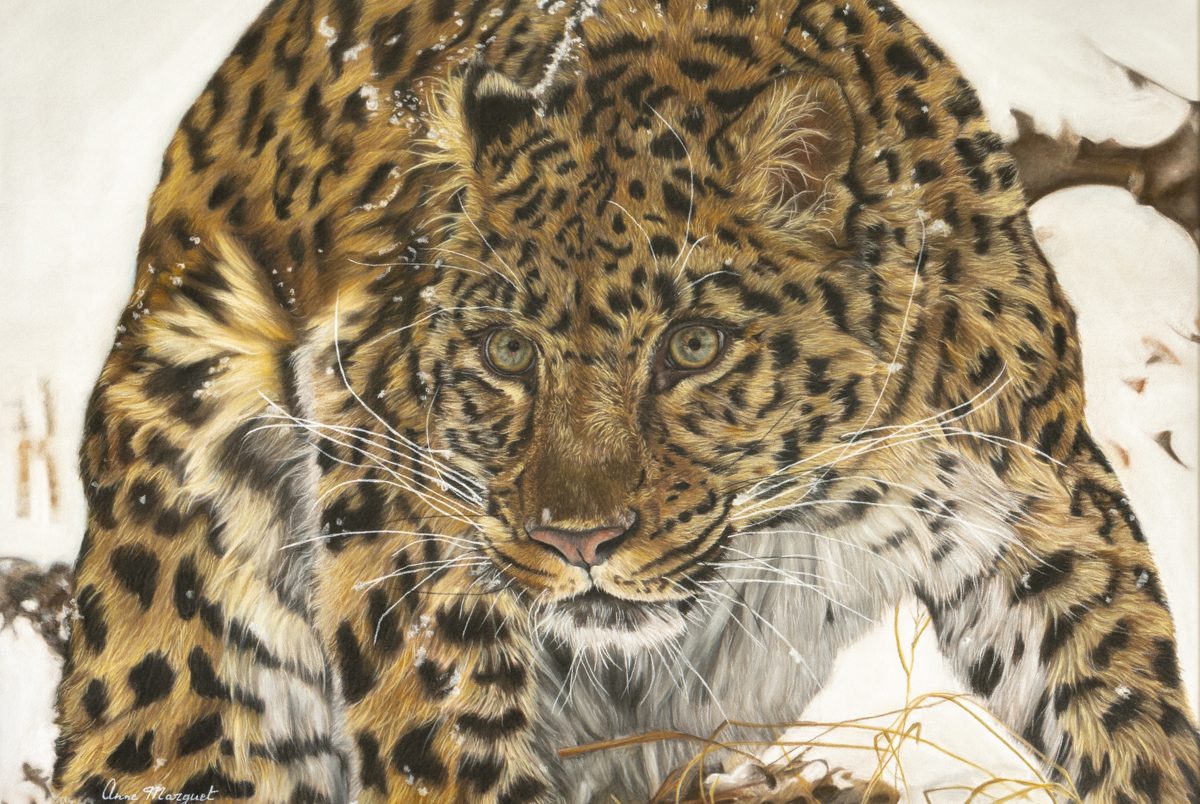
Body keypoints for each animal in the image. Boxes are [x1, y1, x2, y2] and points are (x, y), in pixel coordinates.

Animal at [53, 0, 1200, 801]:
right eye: (508, 351)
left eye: (693, 347)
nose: (578, 541)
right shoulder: (394, 479)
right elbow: (444, 725)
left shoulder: (1035, 494)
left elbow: (1124, 698)